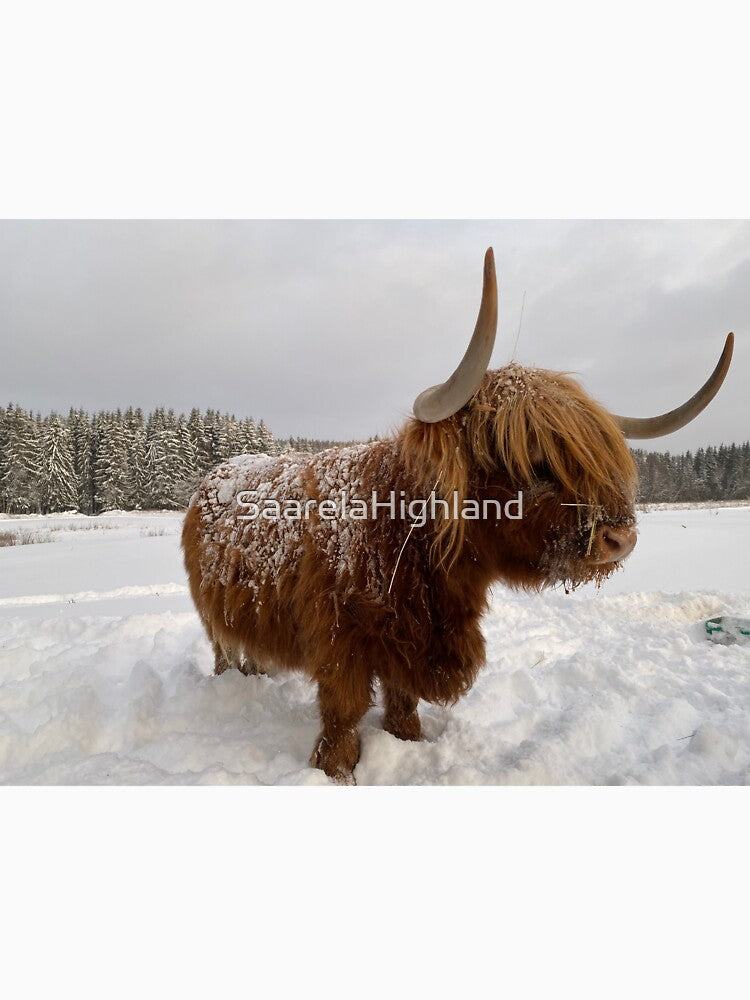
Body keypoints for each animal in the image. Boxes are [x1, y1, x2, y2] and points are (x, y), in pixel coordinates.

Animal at [182, 249, 734, 782]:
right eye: (532, 460)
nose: (620, 537)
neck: (408, 536)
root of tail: (216, 474)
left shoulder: (409, 645)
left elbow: (403, 709)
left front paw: (408, 744)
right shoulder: (342, 644)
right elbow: (342, 720)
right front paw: (336, 773)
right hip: (213, 615)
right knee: (224, 651)